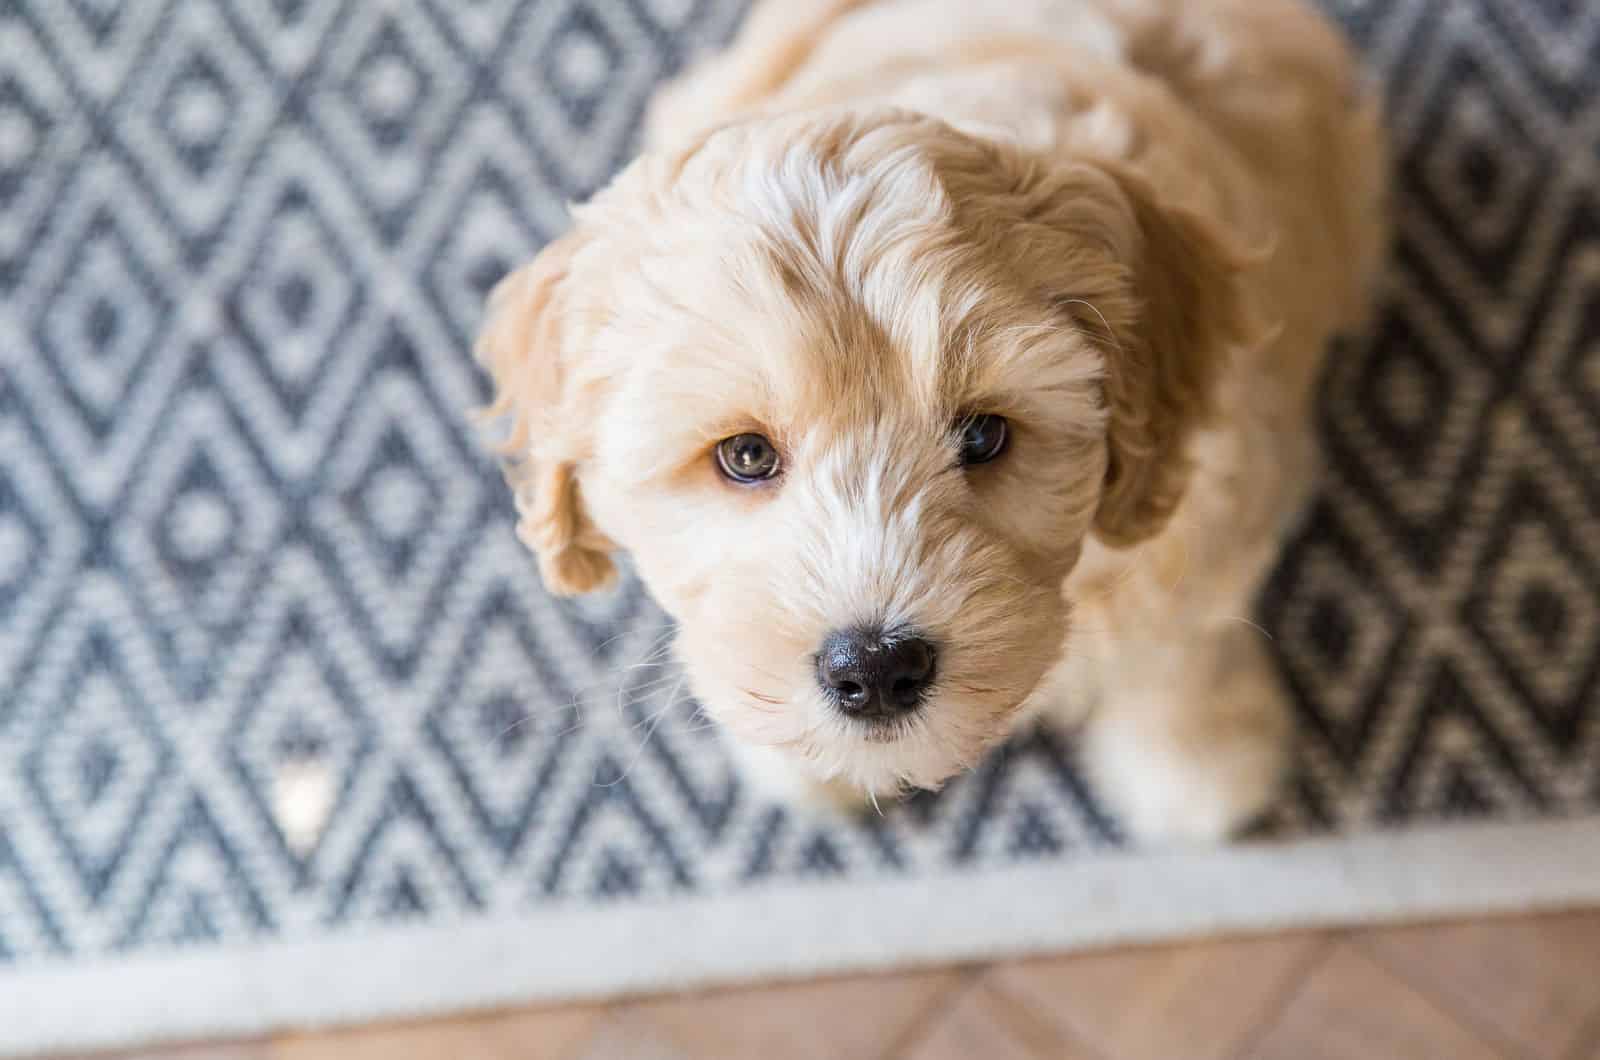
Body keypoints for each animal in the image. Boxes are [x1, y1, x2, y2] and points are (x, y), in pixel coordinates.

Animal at [483, 0, 1388, 845]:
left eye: (984, 436)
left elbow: (1176, 648)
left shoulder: (1214, 508)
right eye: (743, 455)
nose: (876, 669)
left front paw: (1196, 766)